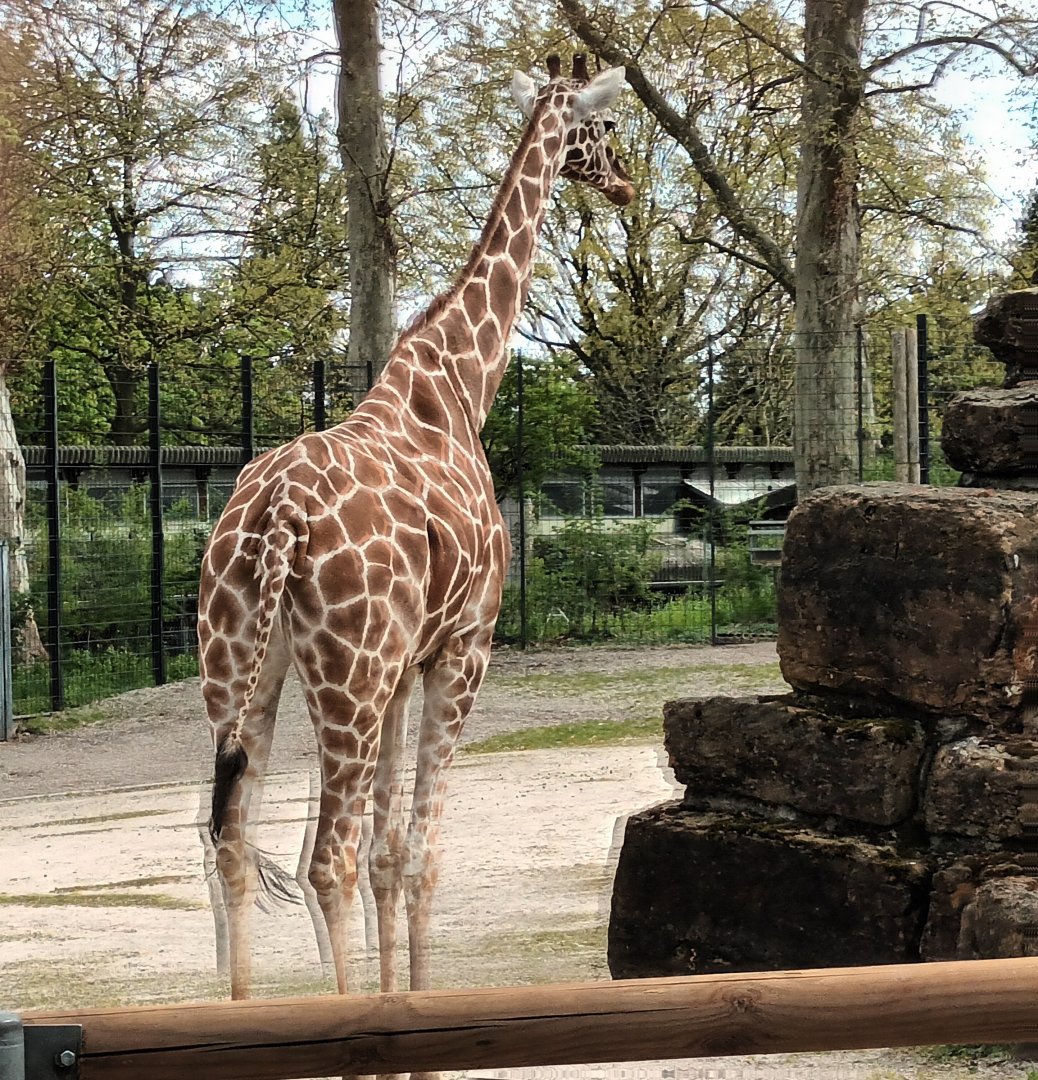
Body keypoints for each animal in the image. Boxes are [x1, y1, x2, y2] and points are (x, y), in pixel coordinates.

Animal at [198, 53, 634, 1010]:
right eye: (605, 129)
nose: (627, 184)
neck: (462, 384)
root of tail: (274, 518)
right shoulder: (464, 648)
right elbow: (423, 854)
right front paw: (419, 1005)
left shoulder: (403, 669)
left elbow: (391, 858)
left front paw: (401, 998)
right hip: (346, 680)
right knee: (324, 858)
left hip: (243, 668)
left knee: (232, 844)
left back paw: (244, 1012)